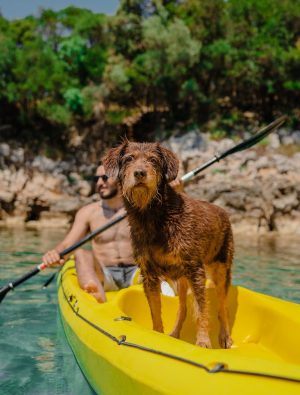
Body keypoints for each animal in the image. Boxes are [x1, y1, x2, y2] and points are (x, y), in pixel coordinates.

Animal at [103, 142, 234, 350]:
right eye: (129, 158)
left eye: (153, 160)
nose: (139, 173)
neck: (153, 215)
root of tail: (223, 211)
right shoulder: (148, 273)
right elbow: (155, 310)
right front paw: (158, 334)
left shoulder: (195, 268)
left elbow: (202, 309)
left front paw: (203, 342)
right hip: (182, 279)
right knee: (183, 307)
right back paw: (175, 333)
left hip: (220, 267)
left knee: (222, 306)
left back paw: (225, 336)